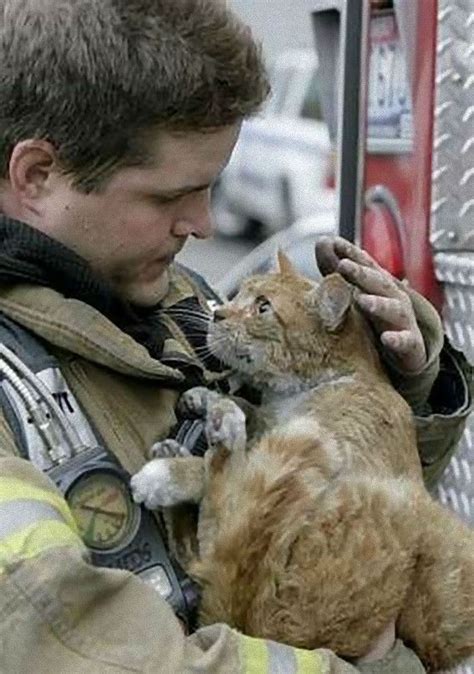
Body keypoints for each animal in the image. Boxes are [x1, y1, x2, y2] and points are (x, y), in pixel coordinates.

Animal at [131, 252, 474, 668]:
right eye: (239, 294)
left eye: (262, 307)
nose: (218, 314)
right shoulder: (273, 425)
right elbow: (251, 416)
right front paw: (208, 399)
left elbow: (241, 477)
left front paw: (175, 471)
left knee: (224, 547)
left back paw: (180, 459)